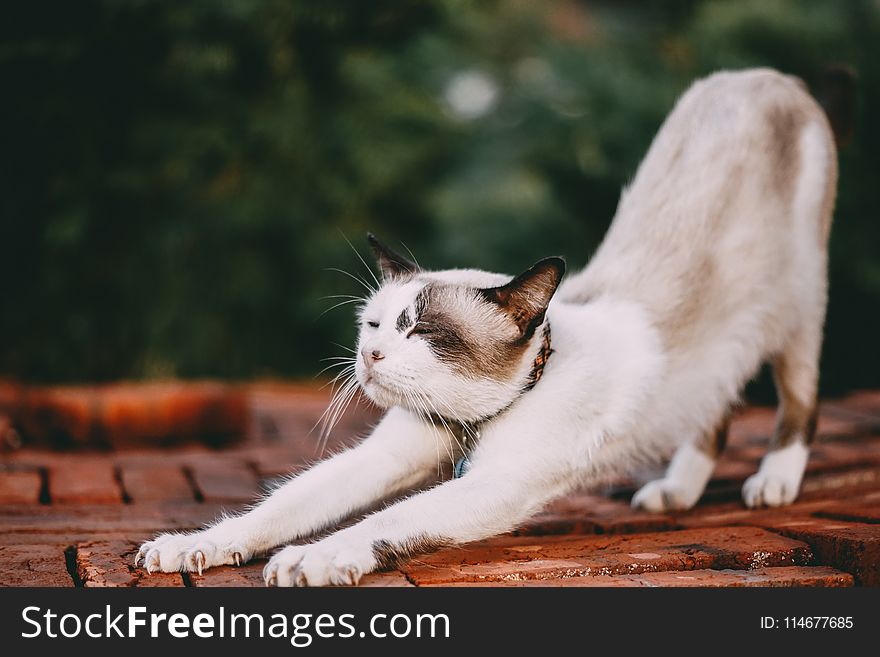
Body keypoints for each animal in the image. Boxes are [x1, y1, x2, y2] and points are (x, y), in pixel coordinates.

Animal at [138, 69, 844, 588]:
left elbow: (386, 520)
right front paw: (189, 547)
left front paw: (313, 559)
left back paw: (773, 482)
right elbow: (276, 509)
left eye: (420, 330)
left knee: (799, 400)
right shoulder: (385, 457)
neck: (467, 424)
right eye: (374, 325)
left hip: (797, 310)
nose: (370, 356)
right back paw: (674, 492)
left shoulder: (495, 485)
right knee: (715, 406)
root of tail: (764, 75)